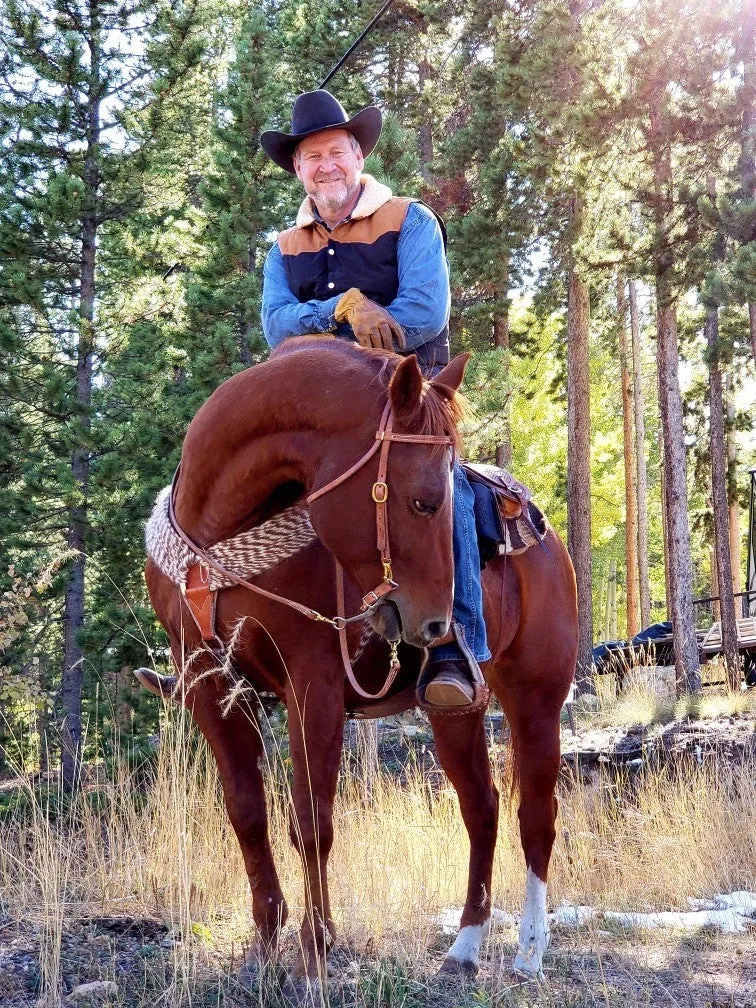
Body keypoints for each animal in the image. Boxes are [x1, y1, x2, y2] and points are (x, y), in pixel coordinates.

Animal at [141, 336, 580, 991]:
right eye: (423, 501)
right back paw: (465, 946)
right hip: (452, 712)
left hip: (536, 699)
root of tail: (545, 536)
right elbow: (247, 812)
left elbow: (311, 820)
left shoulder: (314, 686)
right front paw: (264, 942)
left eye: (442, 500)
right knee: (482, 808)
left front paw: (316, 950)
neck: (218, 528)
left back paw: (529, 949)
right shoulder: (206, 682)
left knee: (536, 814)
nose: (437, 625)